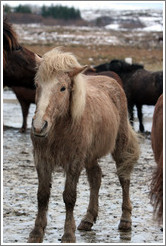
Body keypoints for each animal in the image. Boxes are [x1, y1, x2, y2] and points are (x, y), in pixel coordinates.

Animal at [27, 47, 139, 243]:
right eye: (37, 85)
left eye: (63, 88)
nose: (39, 126)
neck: (60, 128)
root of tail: (112, 82)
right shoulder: (42, 160)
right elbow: (42, 195)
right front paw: (36, 232)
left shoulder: (74, 162)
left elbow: (69, 197)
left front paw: (68, 235)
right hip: (90, 156)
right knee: (96, 178)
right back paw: (88, 219)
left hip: (120, 145)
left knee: (124, 177)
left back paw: (125, 220)